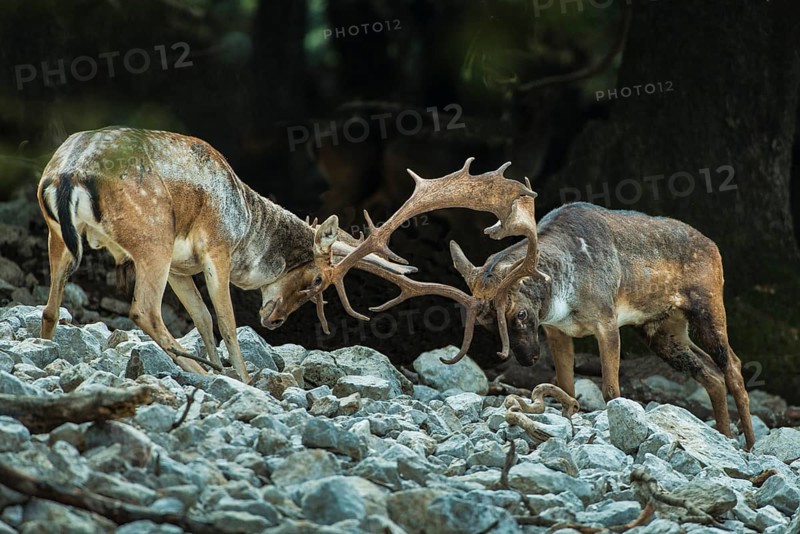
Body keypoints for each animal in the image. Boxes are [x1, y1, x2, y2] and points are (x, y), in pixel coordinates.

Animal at [37, 126, 414, 382]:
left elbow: (202, 317)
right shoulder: (217, 248)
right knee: (144, 310)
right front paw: (243, 379)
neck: (246, 224)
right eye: (319, 279)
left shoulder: (180, 267)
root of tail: (69, 173)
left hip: (59, 235)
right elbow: (227, 322)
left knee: (51, 308)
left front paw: (224, 369)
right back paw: (198, 369)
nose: (276, 321)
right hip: (153, 236)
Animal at [308, 157, 754, 450]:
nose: (524, 358)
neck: (566, 296)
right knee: (708, 372)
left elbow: (611, 389)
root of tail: (714, 246)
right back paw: (724, 436)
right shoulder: (558, 331)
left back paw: (748, 444)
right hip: (662, 328)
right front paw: (569, 416)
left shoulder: (606, 319)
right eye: (485, 325)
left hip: (706, 302)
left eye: (521, 313)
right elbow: (566, 385)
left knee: (730, 363)